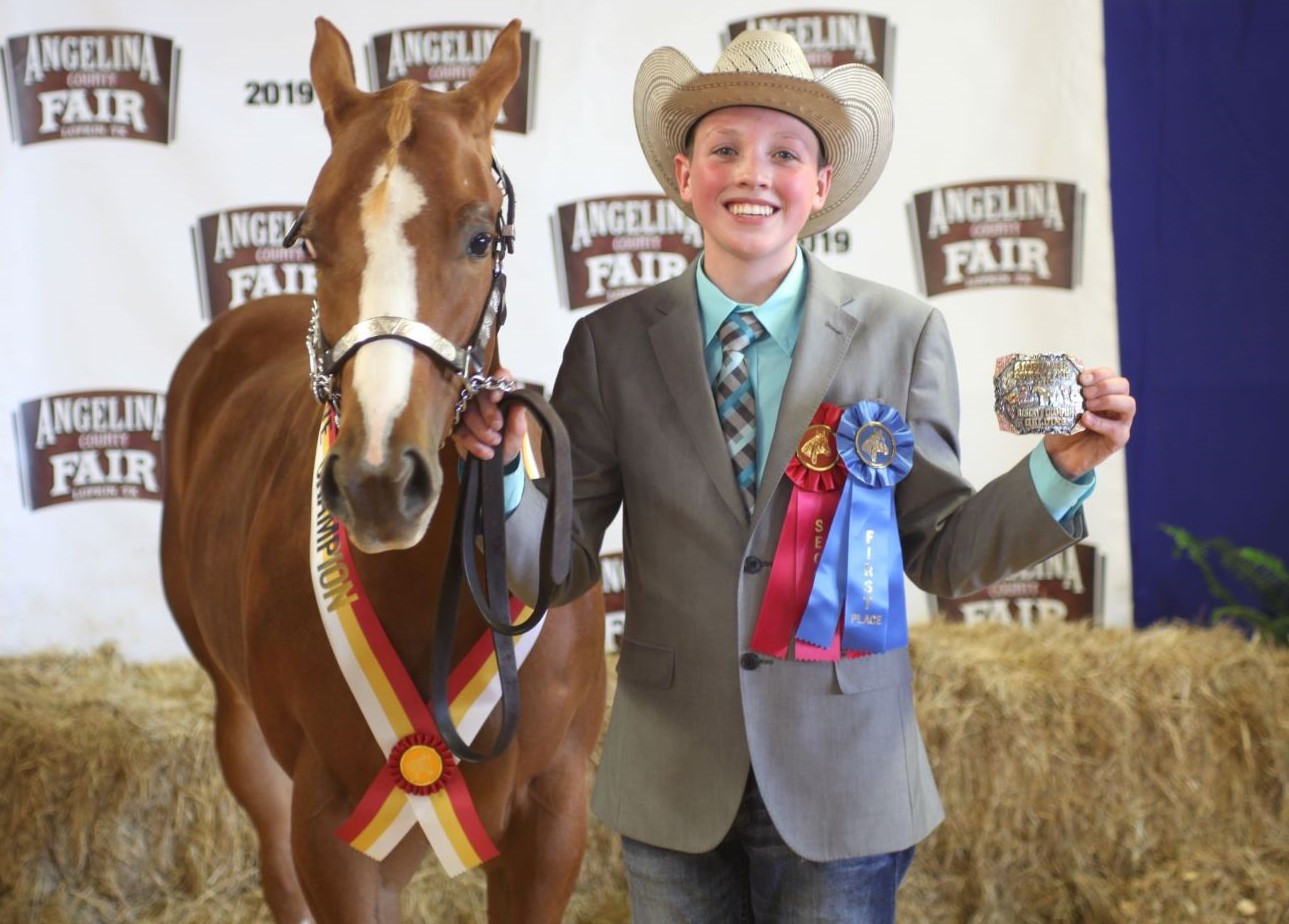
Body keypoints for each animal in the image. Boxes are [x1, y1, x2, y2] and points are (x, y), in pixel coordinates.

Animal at [157, 19, 608, 922]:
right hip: (244, 736)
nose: (378, 484)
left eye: (481, 237)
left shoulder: (553, 821)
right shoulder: (330, 829)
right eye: (311, 238)